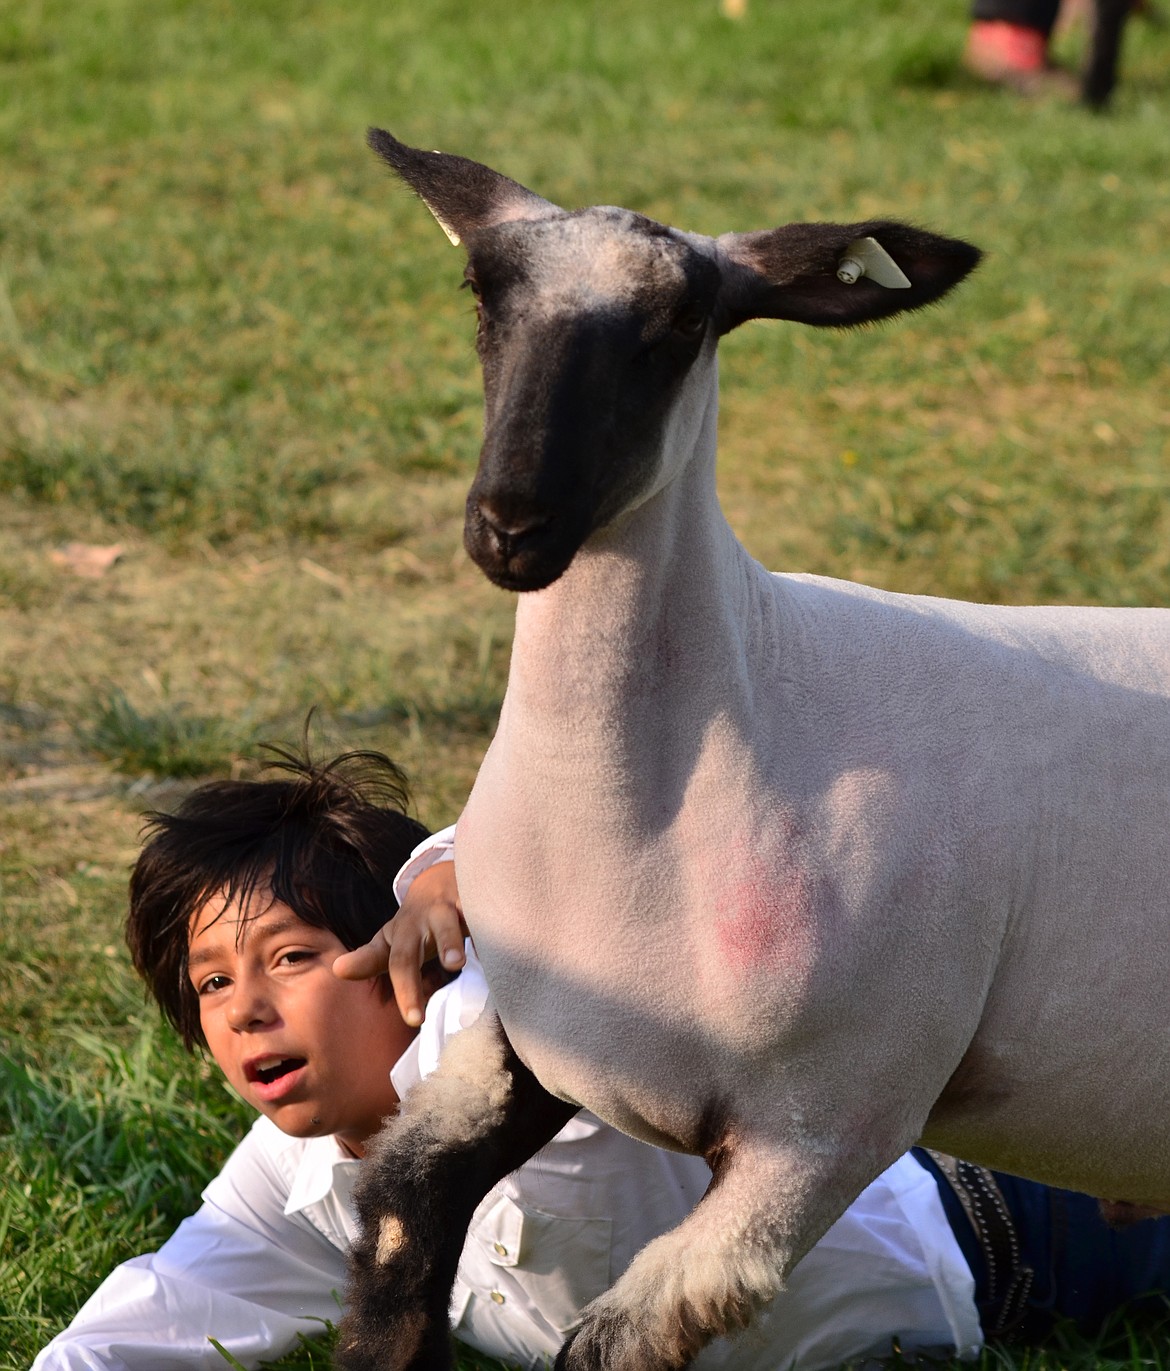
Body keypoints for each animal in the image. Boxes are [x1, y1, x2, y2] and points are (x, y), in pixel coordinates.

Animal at [333, 136, 1163, 1371]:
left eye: (682, 325)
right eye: (482, 292)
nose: (511, 528)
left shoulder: (827, 1128)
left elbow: (611, 1345)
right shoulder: (531, 1043)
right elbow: (400, 1232)